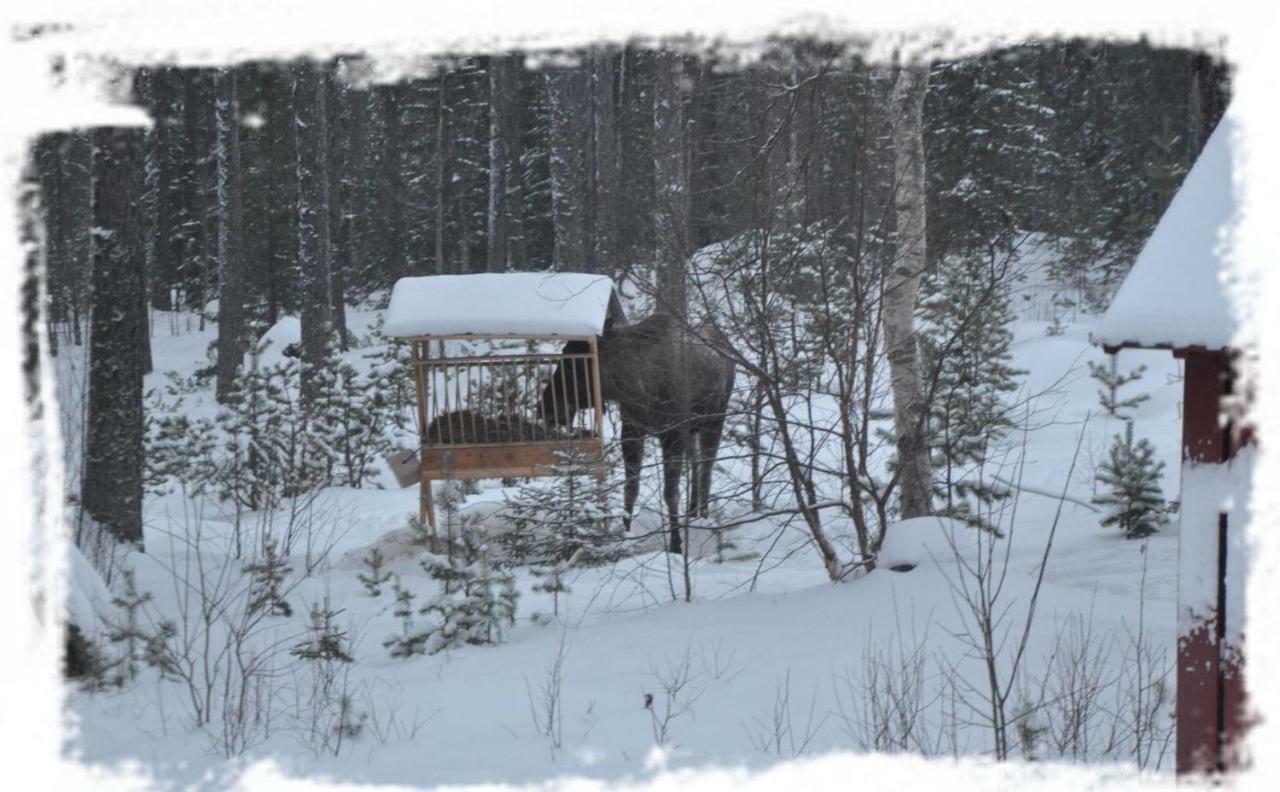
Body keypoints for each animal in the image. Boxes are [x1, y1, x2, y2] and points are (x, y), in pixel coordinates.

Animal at [540, 313, 742, 555]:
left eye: (573, 366)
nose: (546, 407)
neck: (630, 385)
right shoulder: (632, 432)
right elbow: (630, 489)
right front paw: (624, 537)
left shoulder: (672, 435)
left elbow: (670, 493)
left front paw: (676, 544)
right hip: (692, 430)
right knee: (695, 462)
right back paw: (693, 511)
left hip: (714, 420)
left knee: (706, 468)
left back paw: (704, 516)